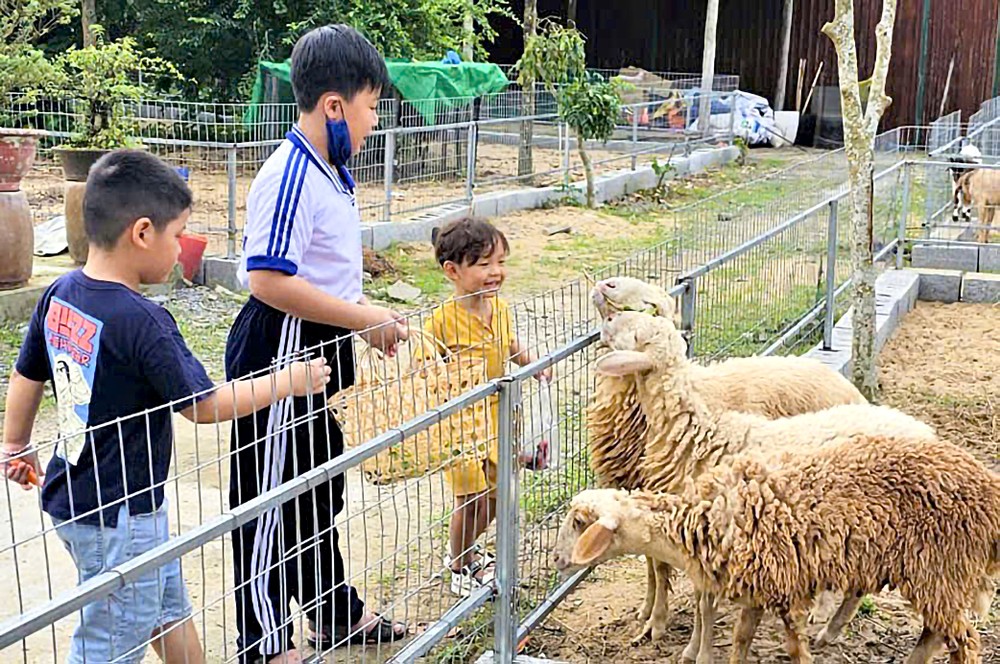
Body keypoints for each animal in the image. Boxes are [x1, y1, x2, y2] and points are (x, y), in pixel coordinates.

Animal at [556, 436, 1000, 664]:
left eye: (578, 521)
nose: (559, 560)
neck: (702, 521)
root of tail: (990, 493)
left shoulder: (786, 587)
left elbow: (793, 647)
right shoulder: (758, 584)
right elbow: (740, 638)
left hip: (942, 567)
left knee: (964, 641)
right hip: (936, 574)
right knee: (935, 633)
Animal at [596, 312, 940, 652]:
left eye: (637, 332)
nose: (608, 318)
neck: (697, 434)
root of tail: (926, 432)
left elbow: (703, 604)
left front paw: (695, 651)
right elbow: (700, 599)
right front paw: (693, 647)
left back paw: (830, 629)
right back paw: (829, 631)